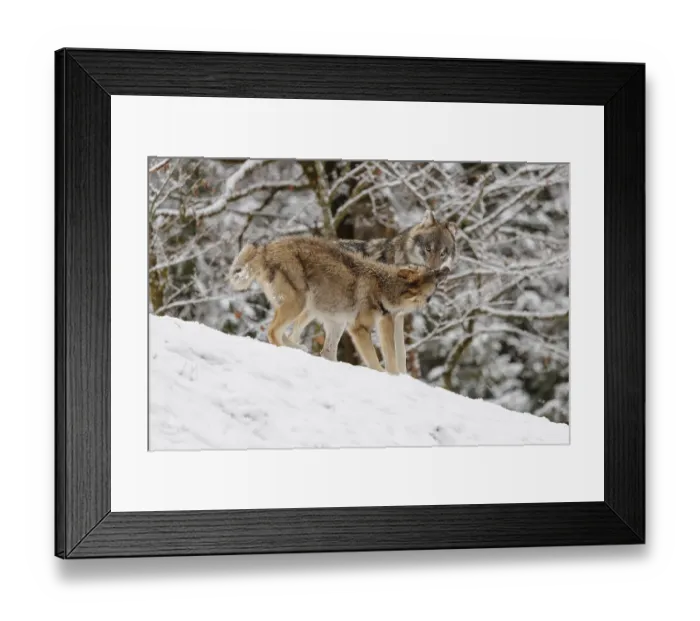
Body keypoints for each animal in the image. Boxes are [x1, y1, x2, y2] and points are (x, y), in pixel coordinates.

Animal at [229, 235, 449, 372]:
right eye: (430, 294)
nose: (444, 270)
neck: (384, 287)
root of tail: (265, 249)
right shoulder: (359, 329)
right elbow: (376, 363)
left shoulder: (341, 324)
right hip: (299, 304)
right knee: (273, 332)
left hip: (310, 310)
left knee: (286, 334)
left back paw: (299, 348)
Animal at [288, 209, 457, 374]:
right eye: (428, 249)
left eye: (443, 253)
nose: (435, 270)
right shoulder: (386, 318)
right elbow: (390, 352)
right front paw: (392, 374)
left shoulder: (398, 317)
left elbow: (401, 353)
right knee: (296, 326)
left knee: (325, 350)